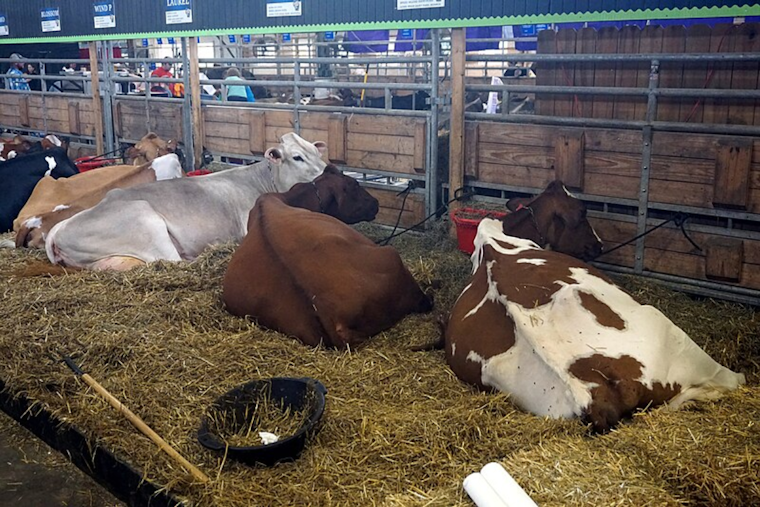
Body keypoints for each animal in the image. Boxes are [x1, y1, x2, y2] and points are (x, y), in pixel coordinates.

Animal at [45, 133, 328, 271]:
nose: (328, 171)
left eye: (317, 151)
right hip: (147, 224)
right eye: (297, 157)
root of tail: (56, 230)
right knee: (172, 261)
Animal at [444, 181, 745, 432]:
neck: (502, 235)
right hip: (671, 332)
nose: (599, 245)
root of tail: (589, 390)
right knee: (727, 380)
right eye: (582, 213)